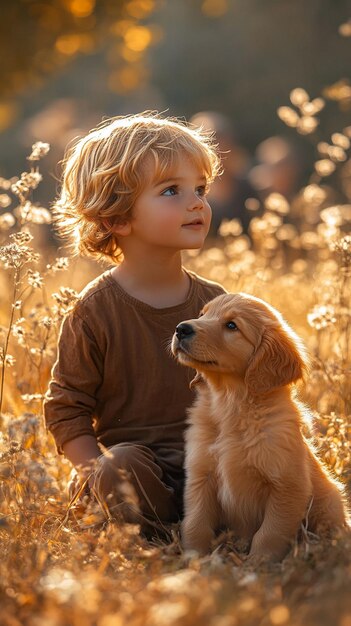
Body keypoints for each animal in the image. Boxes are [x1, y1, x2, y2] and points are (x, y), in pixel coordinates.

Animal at [172, 292, 350, 560]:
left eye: (232, 326)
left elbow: (269, 534)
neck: (232, 406)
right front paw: (193, 560)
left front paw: (258, 564)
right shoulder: (200, 476)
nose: (181, 329)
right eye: (203, 314)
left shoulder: (287, 486)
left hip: (330, 502)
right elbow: (195, 524)